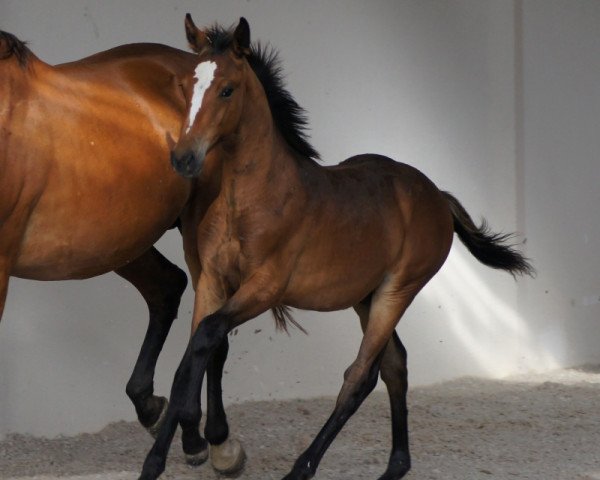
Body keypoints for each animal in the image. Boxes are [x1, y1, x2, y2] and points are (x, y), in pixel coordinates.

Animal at [0, 29, 241, 468]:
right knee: (167, 288)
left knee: (210, 323)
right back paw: (164, 416)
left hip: (197, 237)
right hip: (121, 242)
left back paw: (213, 440)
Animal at [141, 16, 536, 478]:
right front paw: (166, 455)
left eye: (227, 89)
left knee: (361, 375)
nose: (183, 158)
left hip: (397, 291)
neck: (252, 199)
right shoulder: (213, 282)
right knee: (395, 365)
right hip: (365, 296)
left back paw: (302, 468)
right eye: (188, 87)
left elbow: (204, 339)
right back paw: (395, 467)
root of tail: (437, 195)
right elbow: (189, 359)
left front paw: (190, 444)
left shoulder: (264, 288)